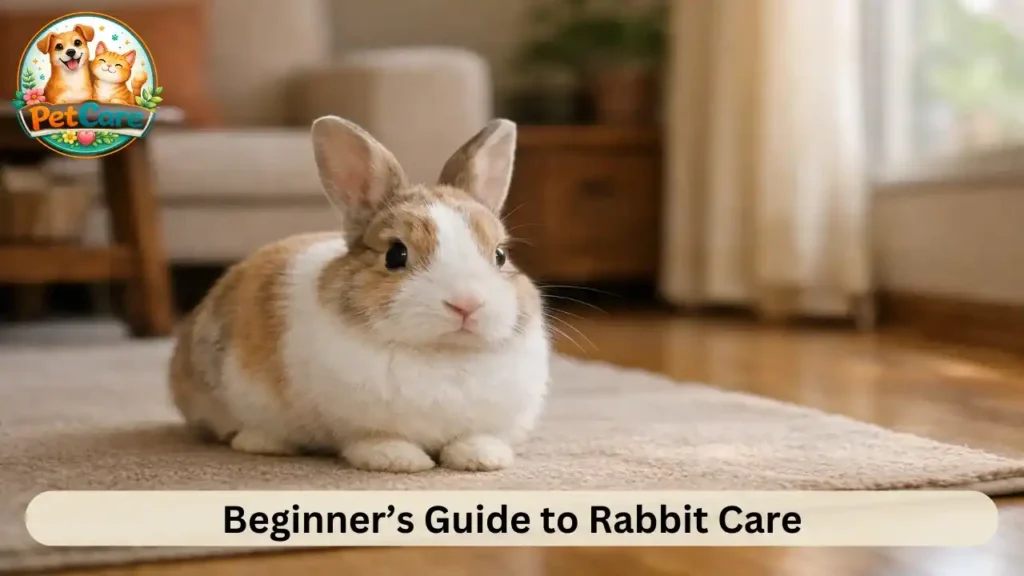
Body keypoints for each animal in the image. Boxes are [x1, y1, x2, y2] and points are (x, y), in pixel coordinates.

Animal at [168, 116, 551, 473]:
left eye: (500, 255)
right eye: (395, 255)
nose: (467, 304)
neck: (444, 353)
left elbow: (476, 437)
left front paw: (483, 458)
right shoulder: (358, 424)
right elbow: (373, 439)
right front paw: (400, 460)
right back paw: (262, 441)